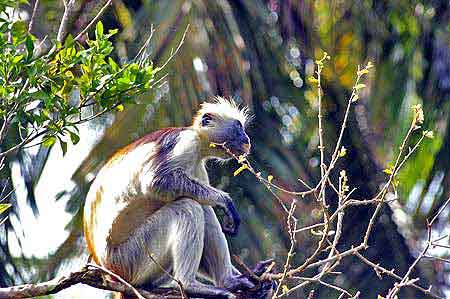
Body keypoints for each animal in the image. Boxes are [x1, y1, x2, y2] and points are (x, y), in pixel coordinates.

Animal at [83, 98, 264, 298]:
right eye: (238, 126)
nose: (247, 139)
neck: (198, 144)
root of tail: (109, 271)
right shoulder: (187, 142)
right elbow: (155, 182)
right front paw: (225, 201)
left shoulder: (198, 165)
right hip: (130, 258)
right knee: (188, 206)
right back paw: (189, 285)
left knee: (202, 206)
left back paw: (228, 282)